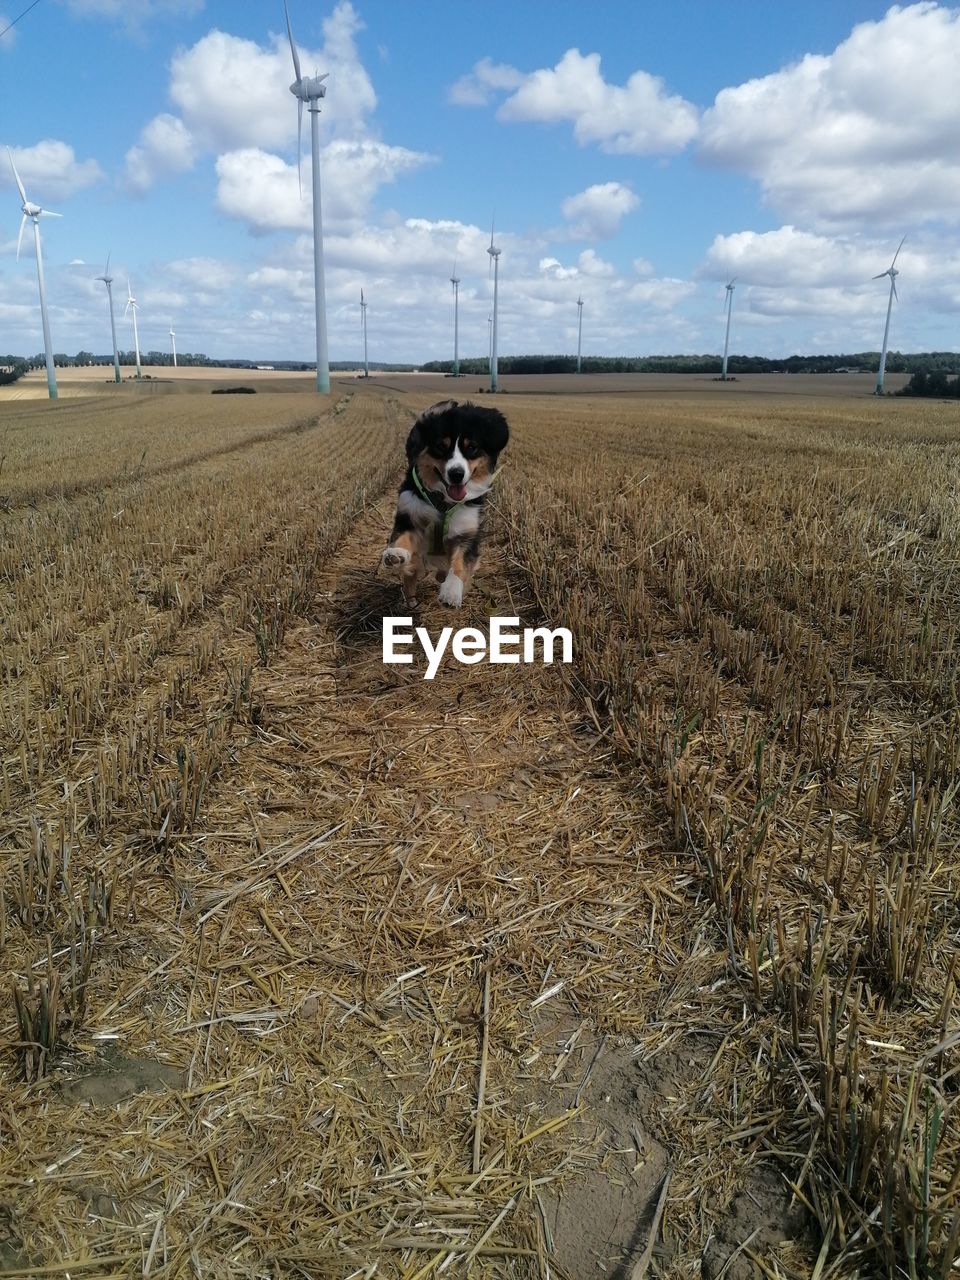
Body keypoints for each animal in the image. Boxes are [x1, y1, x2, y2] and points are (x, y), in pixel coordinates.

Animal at [378, 396, 512, 606]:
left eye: (471, 447)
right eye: (441, 446)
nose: (456, 474)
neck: (443, 502)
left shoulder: (466, 532)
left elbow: (460, 563)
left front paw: (451, 592)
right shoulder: (409, 514)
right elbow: (402, 537)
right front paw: (396, 554)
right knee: (411, 575)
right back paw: (411, 599)